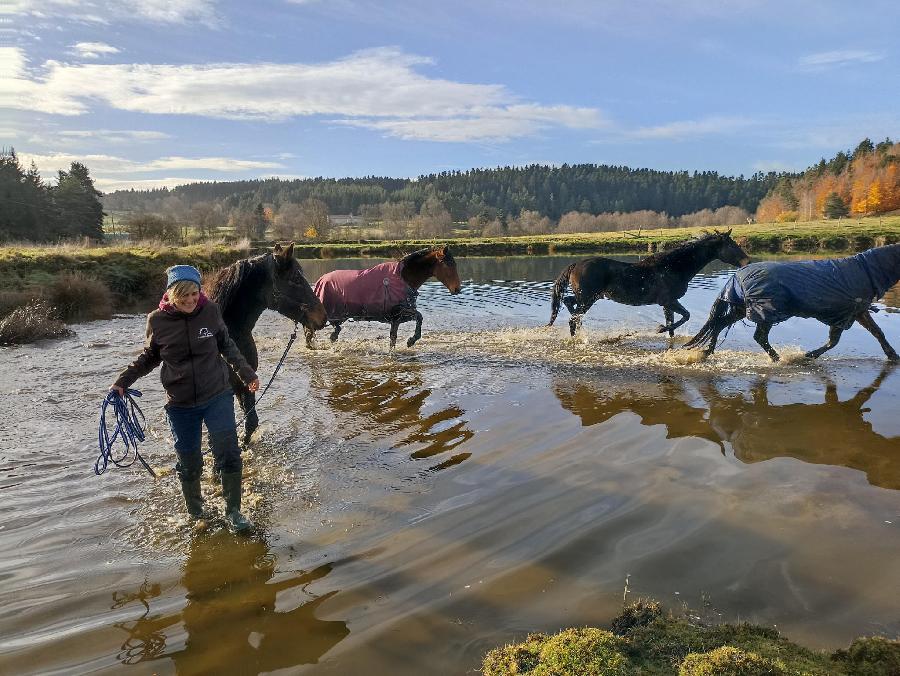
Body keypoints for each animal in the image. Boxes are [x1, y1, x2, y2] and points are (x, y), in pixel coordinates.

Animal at [308, 246, 464, 348]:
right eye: (449, 264)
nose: (457, 289)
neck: (403, 278)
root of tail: (321, 280)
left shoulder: (396, 318)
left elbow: (393, 338)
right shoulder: (400, 311)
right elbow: (419, 317)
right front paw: (411, 340)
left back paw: (332, 337)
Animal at [544, 231, 748, 336]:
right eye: (731, 245)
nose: (747, 260)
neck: (673, 267)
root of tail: (576, 264)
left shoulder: (667, 304)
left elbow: (674, 324)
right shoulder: (668, 301)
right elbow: (685, 316)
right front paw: (660, 329)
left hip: (586, 297)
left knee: (569, 305)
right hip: (588, 298)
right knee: (572, 318)